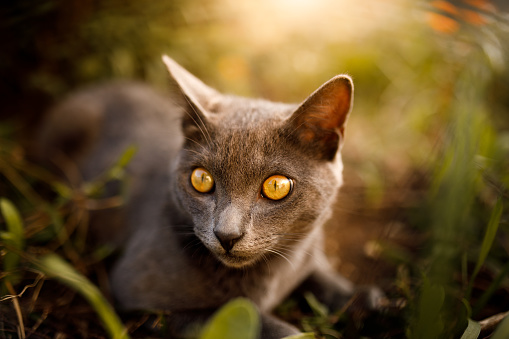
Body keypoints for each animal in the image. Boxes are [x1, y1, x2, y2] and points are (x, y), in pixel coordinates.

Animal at [37, 57, 380, 338]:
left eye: (277, 186)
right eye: (201, 179)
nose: (226, 234)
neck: (270, 279)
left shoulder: (309, 248)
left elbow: (322, 274)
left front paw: (369, 301)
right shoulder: (138, 293)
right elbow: (241, 318)